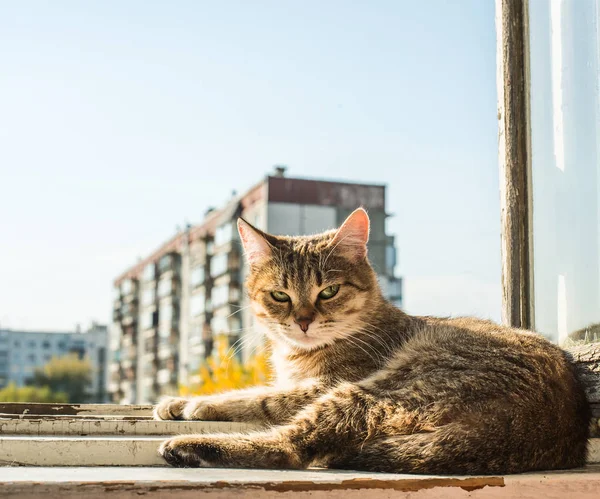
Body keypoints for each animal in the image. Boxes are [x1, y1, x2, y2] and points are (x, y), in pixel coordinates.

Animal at [155, 209, 592, 474]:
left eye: (328, 291)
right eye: (279, 295)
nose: (303, 321)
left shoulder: (323, 385)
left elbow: (260, 398)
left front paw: (196, 403)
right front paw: (175, 401)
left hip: (373, 392)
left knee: (291, 448)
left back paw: (190, 447)